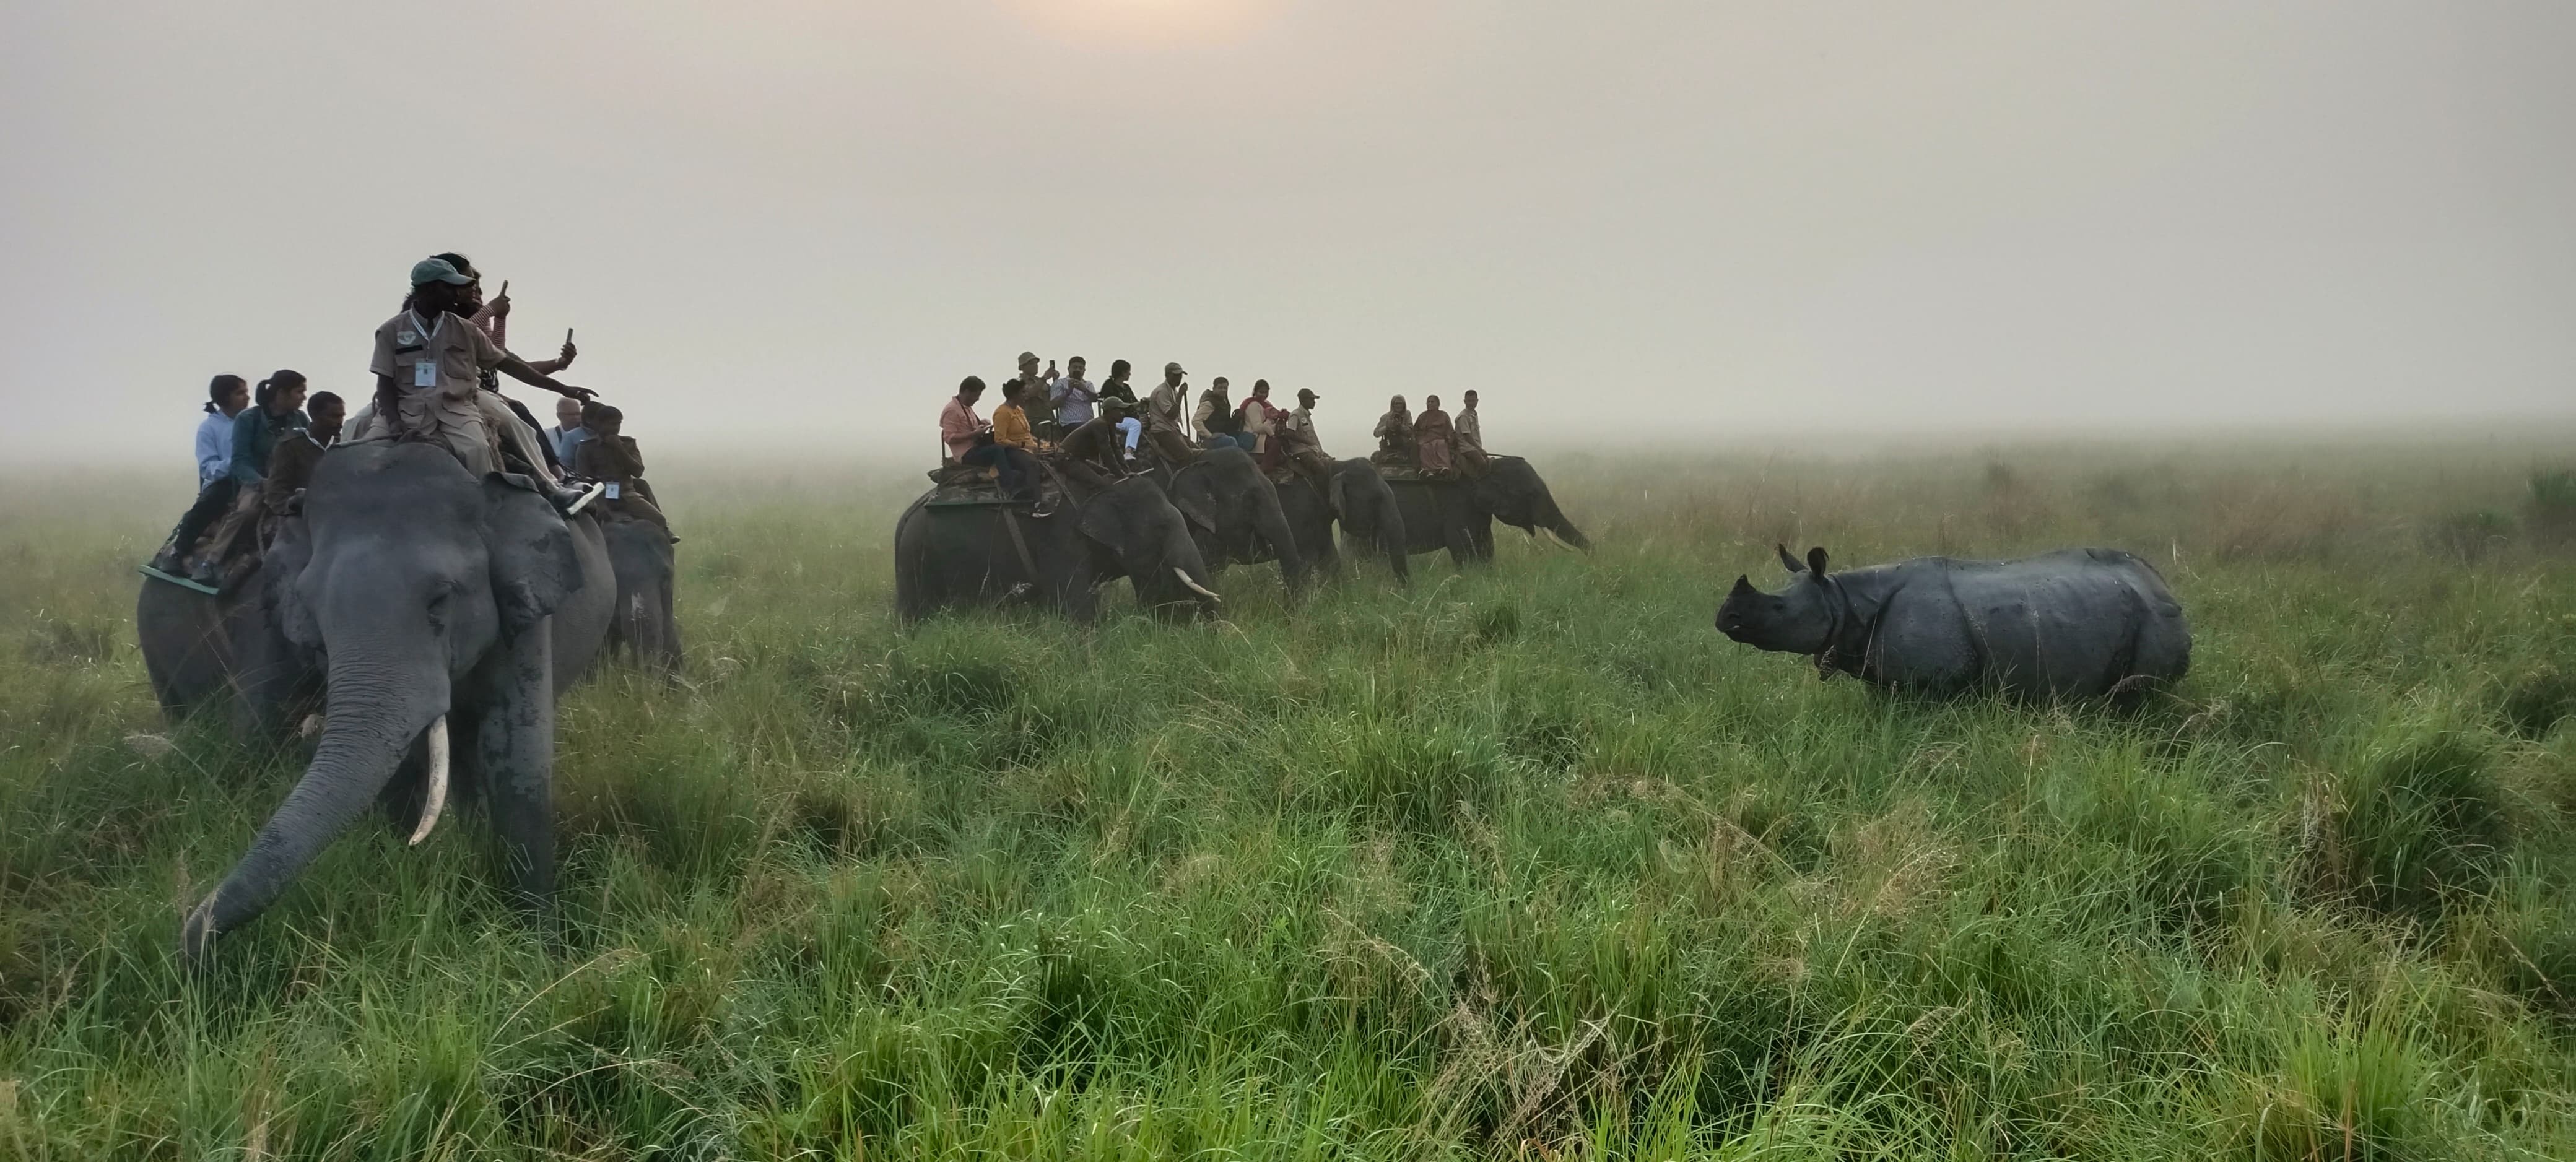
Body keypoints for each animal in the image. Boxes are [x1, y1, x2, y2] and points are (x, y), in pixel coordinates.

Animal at [891, 474, 1221, 623]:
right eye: (1162, 528)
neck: (1105, 485)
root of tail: (904, 519)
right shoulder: (1061, 539)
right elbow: (1077, 607)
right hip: (917, 559)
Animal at [1267, 456, 1411, 582]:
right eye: (1376, 499)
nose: (1405, 589)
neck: (1335, 467)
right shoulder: (1299, 512)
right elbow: (1304, 562)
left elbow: (1331, 559)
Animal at [1391, 456, 1586, 564]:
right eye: (1530, 495)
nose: (1590, 559)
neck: (1488, 467)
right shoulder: (1458, 506)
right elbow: (1461, 546)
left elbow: (1487, 546)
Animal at [1720, 544, 2184, 701]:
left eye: (1779, 609)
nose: (1724, 617)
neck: (1842, 598)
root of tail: (2161, 582)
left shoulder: (1936, 681)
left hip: (2157, 618)